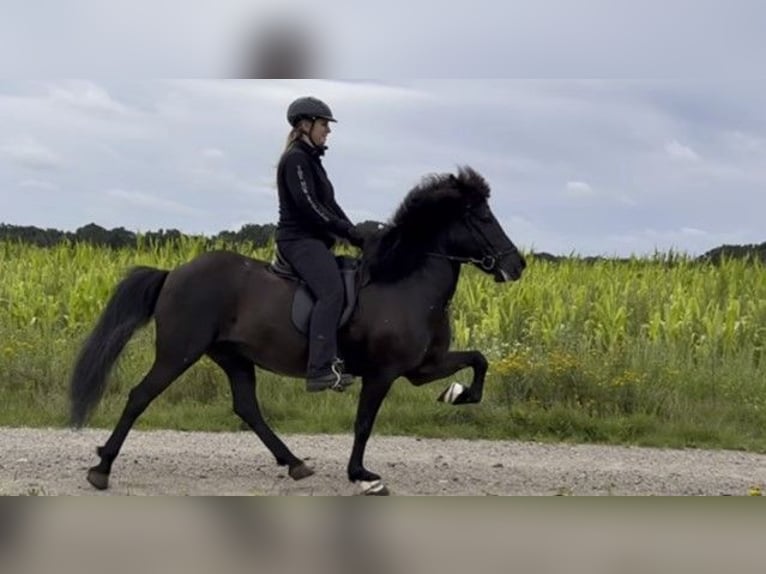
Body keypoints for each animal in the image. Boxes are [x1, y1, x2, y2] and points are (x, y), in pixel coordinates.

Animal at [70, 165, 528, 496]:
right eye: (483, 217)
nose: (517, 265)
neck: (406, 282)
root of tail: (174, 273)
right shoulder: (383, 373)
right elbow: (364, 422)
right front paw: (362, 475)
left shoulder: (422, 367)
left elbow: (479, 361)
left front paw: (457, 394)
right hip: (178, 352)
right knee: (140, 397)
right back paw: (101, 468)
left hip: (232, 356)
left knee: (247, 408)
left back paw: (295, 464)